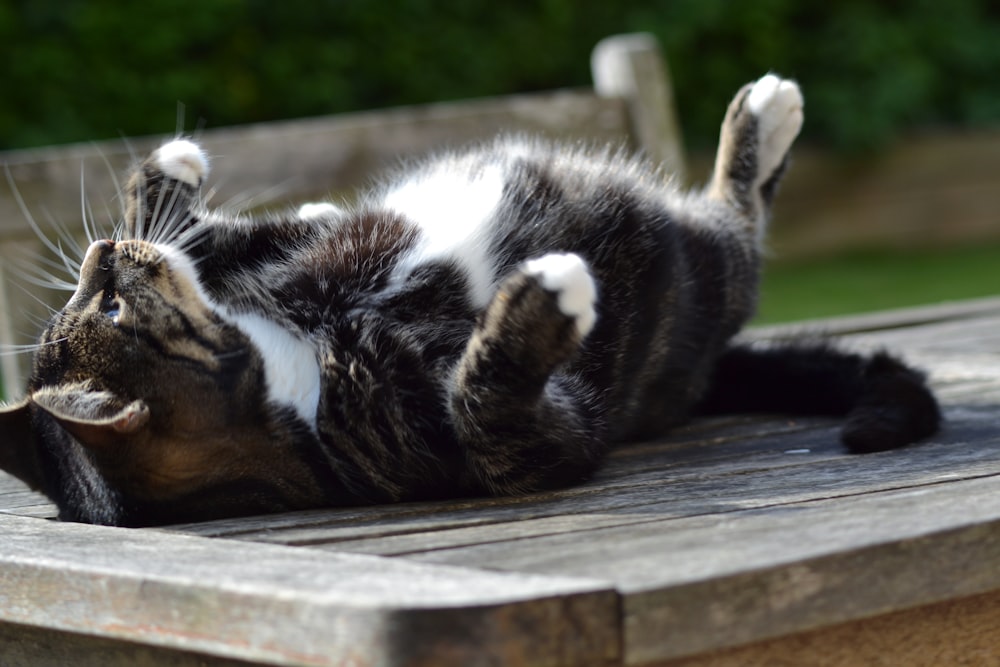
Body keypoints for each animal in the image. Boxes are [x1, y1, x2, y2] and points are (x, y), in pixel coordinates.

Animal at [0, 74, 940, 528]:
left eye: (93, 301)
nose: (100, 256)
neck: (298, 353)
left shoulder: (268, 258)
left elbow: (230, 230)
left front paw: (174, 179)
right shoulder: (500, 450)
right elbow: (491, 413)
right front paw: (544, 302)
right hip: (698, 275)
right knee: (736, 223)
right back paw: (764, 118)